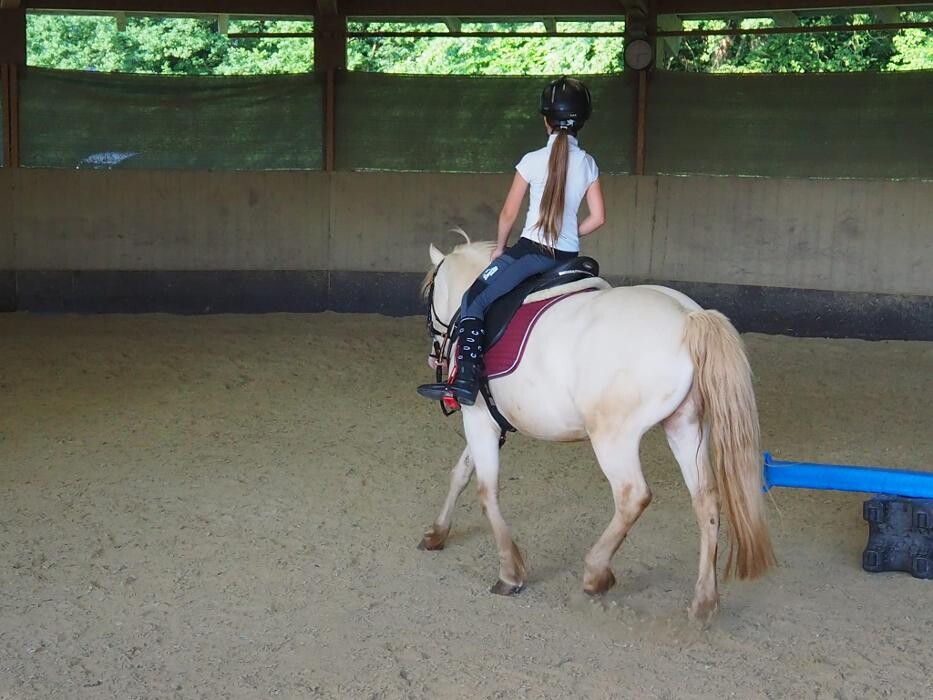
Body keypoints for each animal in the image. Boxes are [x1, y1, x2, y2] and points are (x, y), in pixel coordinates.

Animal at [420, 237, 772, 624]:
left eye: (430, 293)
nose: (434, 355)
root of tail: (687, 318)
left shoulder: (478, 418)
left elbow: (486, 492)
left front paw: (509, 573)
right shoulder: (488, 421)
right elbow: (461, 474)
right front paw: (437, 533)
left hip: (613, 438)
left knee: (633, 496)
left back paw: (595, 572)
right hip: (686, 426)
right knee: (706, 499)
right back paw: (704, 600)